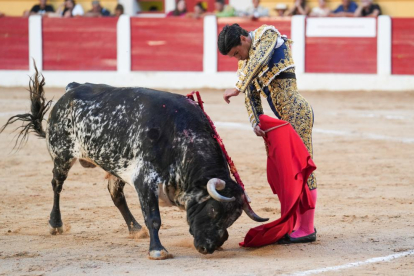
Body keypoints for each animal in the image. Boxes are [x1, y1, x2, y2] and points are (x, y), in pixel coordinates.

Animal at [0, 68, 268, 260]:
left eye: (232, 219)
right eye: (213, 210)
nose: (208, 247)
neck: (179, 137)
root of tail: (71, 89)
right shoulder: (145, 180)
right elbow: (154, 218)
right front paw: (158, 250)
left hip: (115, 165)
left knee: (115, 194)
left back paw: (134, 228)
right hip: (62, 155)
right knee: (56, 185)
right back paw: (55, 225)